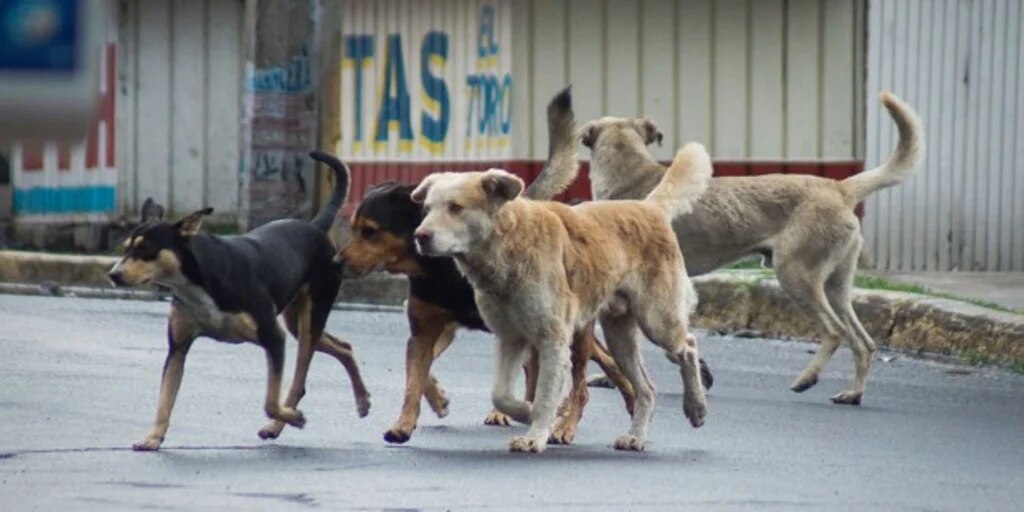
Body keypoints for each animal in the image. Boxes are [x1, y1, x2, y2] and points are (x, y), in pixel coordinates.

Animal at [111, 149, 368, 450]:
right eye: (126, 248)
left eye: (146, 249)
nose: (113, 274)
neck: (196, 281)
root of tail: (315, 226)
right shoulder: (178, 348)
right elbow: (165, 399)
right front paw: (153, 437)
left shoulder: (274, 337)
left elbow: (270, 402)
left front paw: (292, 417)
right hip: (297, 320)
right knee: (343, 348)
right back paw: (362, 401)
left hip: (311, 315)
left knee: (298, 381)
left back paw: (280, 423)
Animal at [407, 142, 712, 450]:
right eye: (427, 209)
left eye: (455, 207)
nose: (420, 236)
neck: (509, 244)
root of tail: (647, 207)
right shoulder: (510, 337)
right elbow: (501, 394)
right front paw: (526, 413)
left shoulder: (552, 338)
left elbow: (544, 395)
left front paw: (535, 436)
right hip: (620, 337)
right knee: (647, 388)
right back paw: (636, 436)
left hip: (657, 320)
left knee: (688, 346)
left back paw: (696, 408)